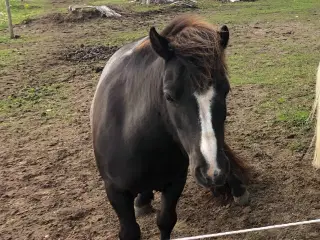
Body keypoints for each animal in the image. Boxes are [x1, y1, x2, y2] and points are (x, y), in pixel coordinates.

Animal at [90, 14, 250, 240]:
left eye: (226, 90)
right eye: (169, 96)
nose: (212, 171)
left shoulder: (175, 182)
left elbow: (166, 221)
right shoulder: (115, 191)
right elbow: (130, 231)